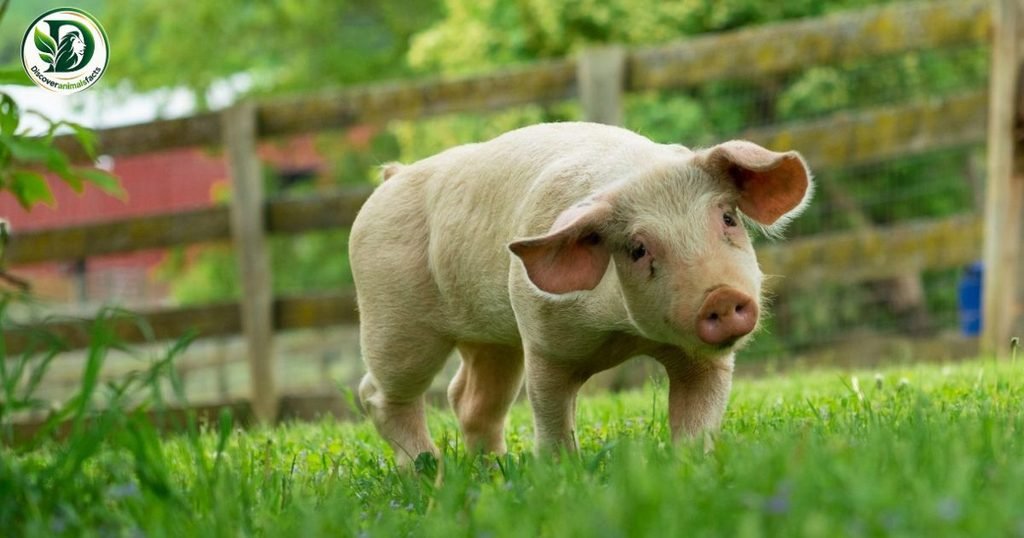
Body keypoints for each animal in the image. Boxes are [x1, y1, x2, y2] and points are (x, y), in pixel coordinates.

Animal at [350, 122, 812, 464]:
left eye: (728, 218)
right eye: (638, 248)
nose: (720, 296)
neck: (623, 335)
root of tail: (392, 176)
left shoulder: (702, 360)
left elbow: (697, 419)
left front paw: (692, 464)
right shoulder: (543, 342)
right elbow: (551, 415)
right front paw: (560, 473)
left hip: (492, 339)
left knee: (466, 398)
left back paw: (493, 469)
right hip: (393, 316)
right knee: (380, 395)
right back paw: (429, 472)